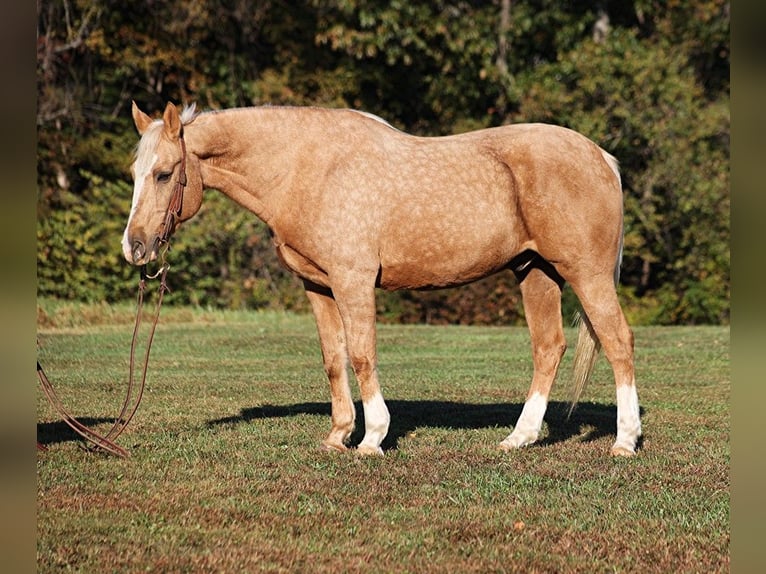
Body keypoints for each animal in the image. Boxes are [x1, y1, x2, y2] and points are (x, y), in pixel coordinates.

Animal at [123, 101, 641, 457]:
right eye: (134, 172)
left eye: (165, 174)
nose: (135, 246)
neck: (307, 169)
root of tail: (602, 157)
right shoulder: (319, 286)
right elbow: (334, 359)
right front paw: (338, 435)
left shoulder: (353, 281)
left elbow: (361, 354)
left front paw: (372, 437)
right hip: (536, 272)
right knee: (549, 347)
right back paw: (520, 436)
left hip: (587, 274)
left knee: (617, 341)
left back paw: (625, 440)